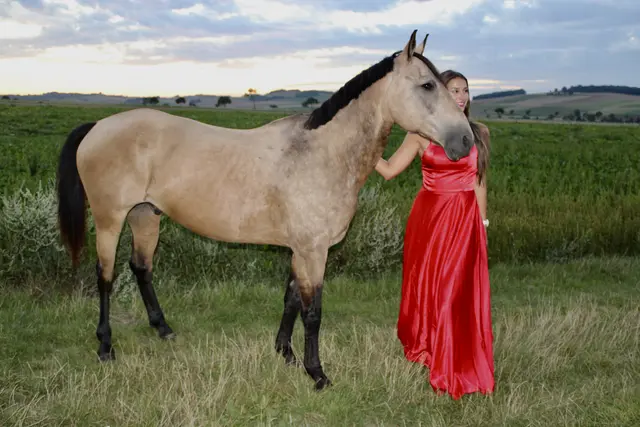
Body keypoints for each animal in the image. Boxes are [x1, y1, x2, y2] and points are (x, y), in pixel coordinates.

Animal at [56, 30, 474, 391]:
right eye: (427, 85)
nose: (465, 140)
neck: (320, 152)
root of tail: (98, 125)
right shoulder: (313, 250)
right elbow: (312, 311)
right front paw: (317, 374)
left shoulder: (300, 249)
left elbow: (291, 299)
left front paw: (285, 354)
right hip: (110, 219)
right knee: (105, 276)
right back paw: (105, 347)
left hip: (145, 215)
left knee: (141, 267)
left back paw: (163, 329)